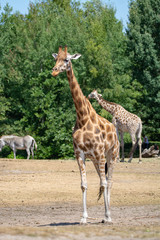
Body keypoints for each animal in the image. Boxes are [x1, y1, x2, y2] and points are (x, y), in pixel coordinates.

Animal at [51, 46, 119, 224]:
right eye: (55, 58)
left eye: (67, 59)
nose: (54, 71)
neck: (82, 118)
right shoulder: (80, 154)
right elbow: (84, 184)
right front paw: (83, 217)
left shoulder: (100, 153)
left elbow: (104, 183)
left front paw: (107, 216)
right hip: (95, 160)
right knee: (103, 180)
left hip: (112, 155)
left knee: (109, 181)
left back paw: (108, 216)